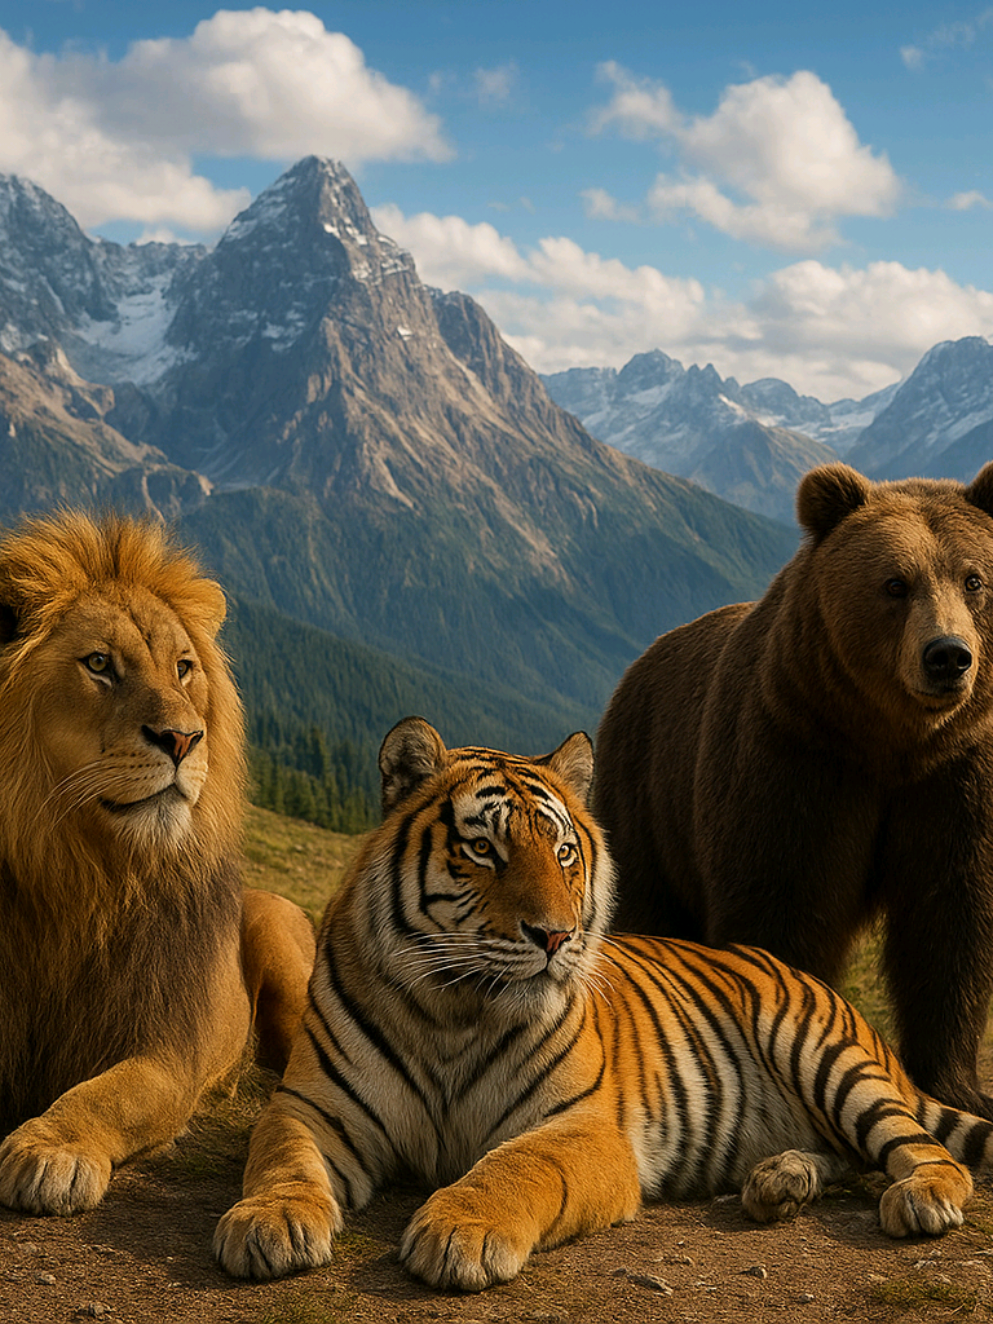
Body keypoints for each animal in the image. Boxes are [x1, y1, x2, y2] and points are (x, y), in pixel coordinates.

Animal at [214, 716, 993, 1292]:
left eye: (562, 852)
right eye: (483, 849)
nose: (555, 935)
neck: (453, 1012)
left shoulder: (582, 1126)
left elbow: (515, 1168)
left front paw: (462, 1229)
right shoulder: (312, 1105)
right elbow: (281, 1158)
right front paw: (267, 1221)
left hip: (823, 1058)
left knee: (920, 1150)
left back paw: (920, 1196)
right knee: (845, 1155)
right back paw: (779, 1182)